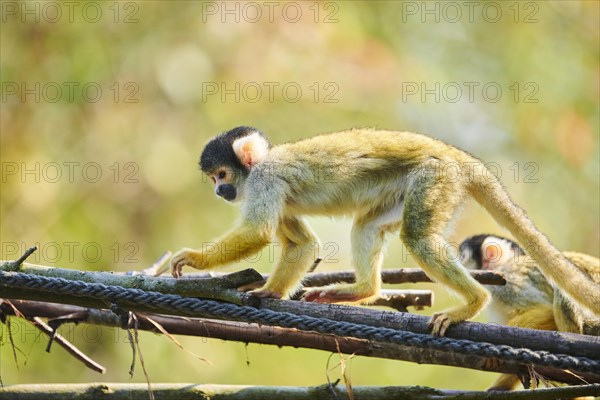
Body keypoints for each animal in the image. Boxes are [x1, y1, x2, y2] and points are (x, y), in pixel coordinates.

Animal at [170, 126, 600, 336]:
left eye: (221, 175)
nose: (220, 191)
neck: (259, 165)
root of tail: (459, 157)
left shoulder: (265, 179)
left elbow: (259, 232)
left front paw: (193, 259)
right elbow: (302, 243)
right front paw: (271, 293)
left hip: (435, 177)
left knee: (417, 237)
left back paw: (474, 301)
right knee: (369, 223)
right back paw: (364, 290)